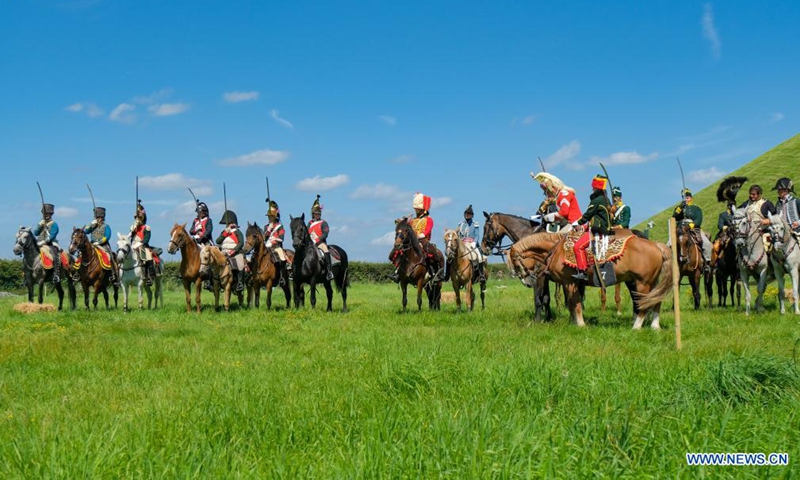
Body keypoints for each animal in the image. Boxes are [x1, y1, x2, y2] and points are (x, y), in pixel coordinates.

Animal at [510, 232, 672, 330]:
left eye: (515, 263)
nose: (528, 282)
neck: (557, 249)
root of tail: (656, 245)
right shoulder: (569, 284)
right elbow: (572, 304)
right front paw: (574, 322)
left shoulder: (569, 282)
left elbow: (575, 303)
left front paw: (580, 324)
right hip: (652, 282)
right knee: (656, 302)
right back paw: (655, 326)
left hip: (642, 283)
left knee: (643, 304)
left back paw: (636, 327)